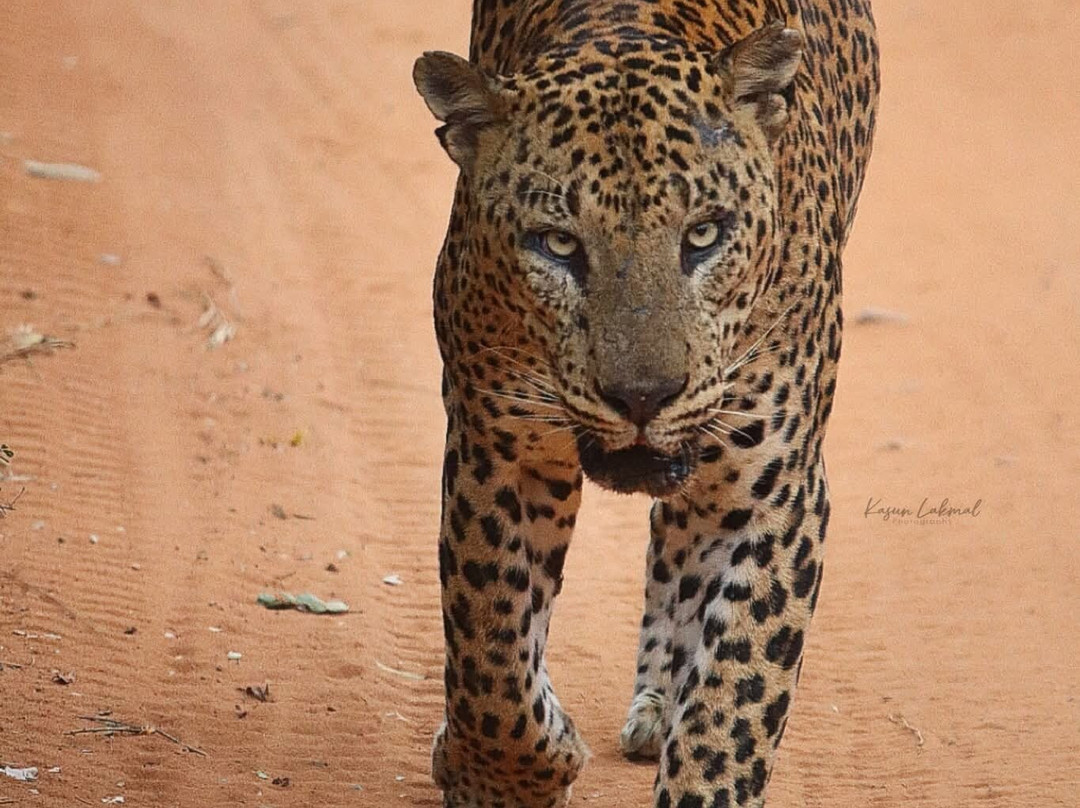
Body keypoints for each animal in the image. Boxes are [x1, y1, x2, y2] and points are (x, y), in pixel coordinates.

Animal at [412, 1, 879, 806]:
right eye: (557, 244)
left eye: (705, 234)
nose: (642, 397)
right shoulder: (496, 451)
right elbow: (490, 650)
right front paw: (503, 778)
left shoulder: (777, 490)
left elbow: (733, 704)